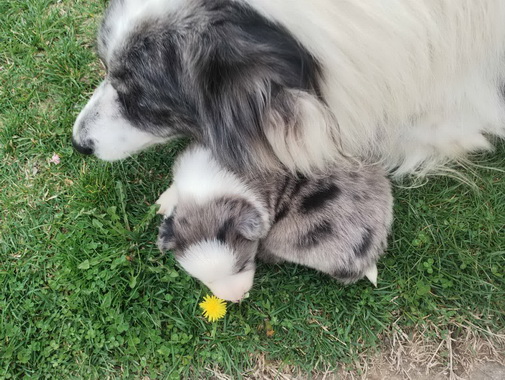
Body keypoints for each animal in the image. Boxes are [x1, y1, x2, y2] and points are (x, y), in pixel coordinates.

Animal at [156, 144, 392, 302]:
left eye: (243, 265)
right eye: (207, 281)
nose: (237, 299)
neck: (206, 190)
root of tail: (369, 254)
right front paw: (165, 201)